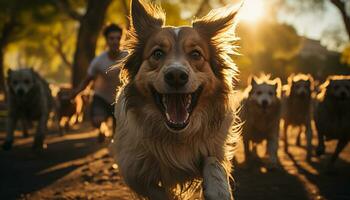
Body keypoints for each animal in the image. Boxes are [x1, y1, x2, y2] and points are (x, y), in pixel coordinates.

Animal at [109, 0, 241, 199]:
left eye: (196, 54)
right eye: (157, 54)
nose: (176, 76)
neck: (176, 136)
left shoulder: (215, 147)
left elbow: (214, 163)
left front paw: (218, 189)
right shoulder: (133, 172)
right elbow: (157, 191)